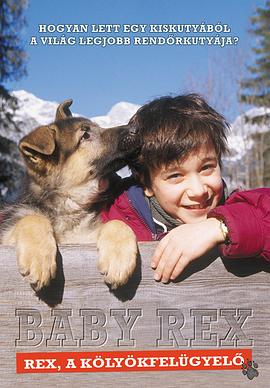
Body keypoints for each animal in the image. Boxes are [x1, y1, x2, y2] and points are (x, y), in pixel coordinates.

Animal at [0, 100, 137, 292]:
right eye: (85, 135)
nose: (136, 128)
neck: (70, 203)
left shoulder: (82, 240)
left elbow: (116, 222)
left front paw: (118, 259)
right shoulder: (6, 236)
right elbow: (33, 218)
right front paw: (39, 259)